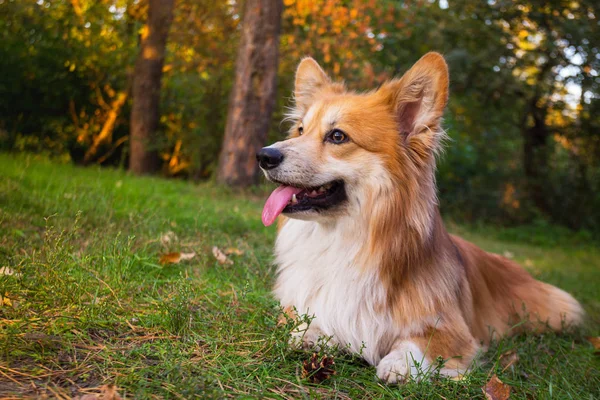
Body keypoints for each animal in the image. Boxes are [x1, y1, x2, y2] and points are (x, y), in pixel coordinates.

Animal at [255, 52, 584, 382]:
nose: (263, 155)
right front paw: (310, 333)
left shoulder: (454, 332)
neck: (343, 240)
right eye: (300, 130)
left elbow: (418, 343)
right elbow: (310, 320)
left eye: (337, 136)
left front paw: (399, 363)